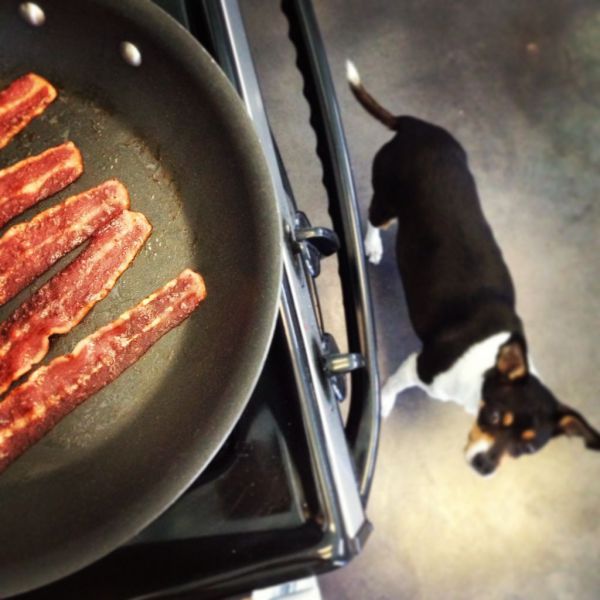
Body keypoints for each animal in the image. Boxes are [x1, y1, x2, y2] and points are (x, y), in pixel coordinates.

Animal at [346, 59, 600, 474]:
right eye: (494, 416)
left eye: (528, 448)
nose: (484, 467)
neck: (485, 369)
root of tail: (414, 125)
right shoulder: (417, 366)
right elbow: (390, 389)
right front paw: (382, 407)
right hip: (386, 200)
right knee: (372, 219)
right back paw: (371, 246)